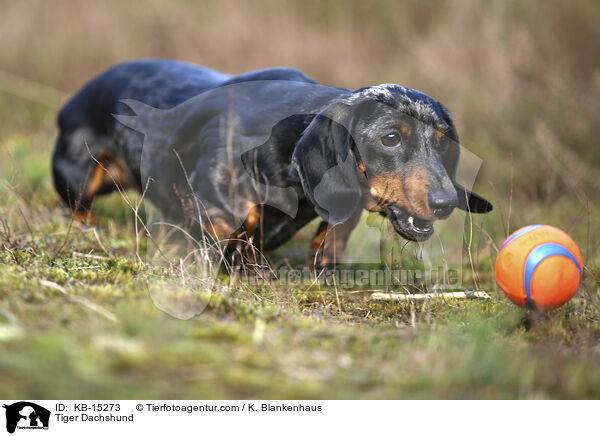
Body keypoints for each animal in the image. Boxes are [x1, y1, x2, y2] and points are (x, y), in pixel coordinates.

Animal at [52, 59, 492, 264]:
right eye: (391, 138)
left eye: (444, 144)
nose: (445, 204)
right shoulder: (214, 198)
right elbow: (226, 227)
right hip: (82, 175)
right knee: (78, 206)